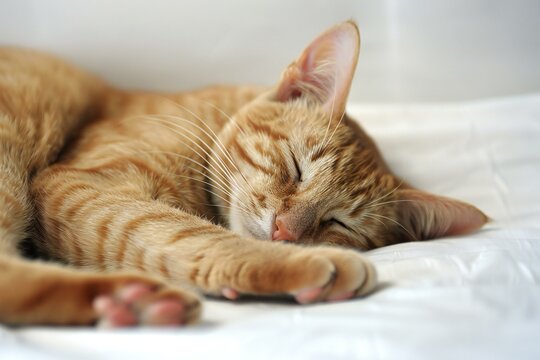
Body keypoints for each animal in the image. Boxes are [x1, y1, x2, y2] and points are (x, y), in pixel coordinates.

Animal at [0, 21, 490, 328]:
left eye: (339, 223)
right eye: (296, 168)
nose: (284, 231)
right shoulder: (83, 184)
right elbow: (190, 233)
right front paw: (297, 263)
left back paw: (133, 302)